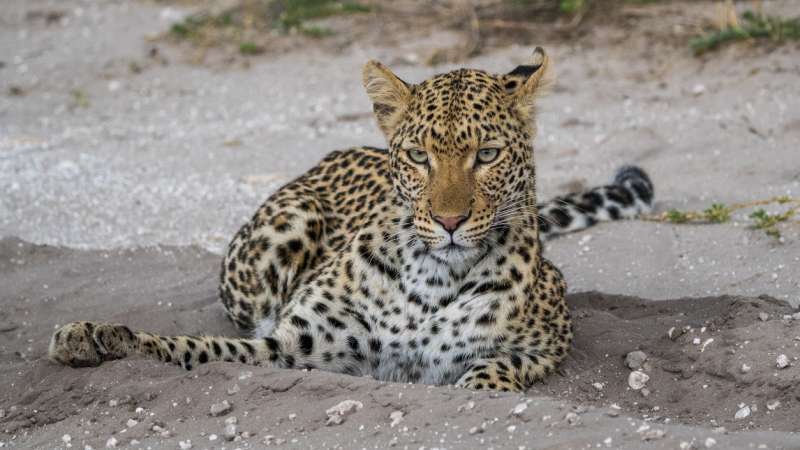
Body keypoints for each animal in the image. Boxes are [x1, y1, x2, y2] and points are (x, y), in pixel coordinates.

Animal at [48, 48, 654, 391]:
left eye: (487, 155)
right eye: (419, 157)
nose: (450, 221)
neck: (433, 280)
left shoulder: (545, 344)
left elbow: (490, 373)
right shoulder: (291, 347)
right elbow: (193, 348)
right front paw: (96, 336)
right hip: (278, 239)